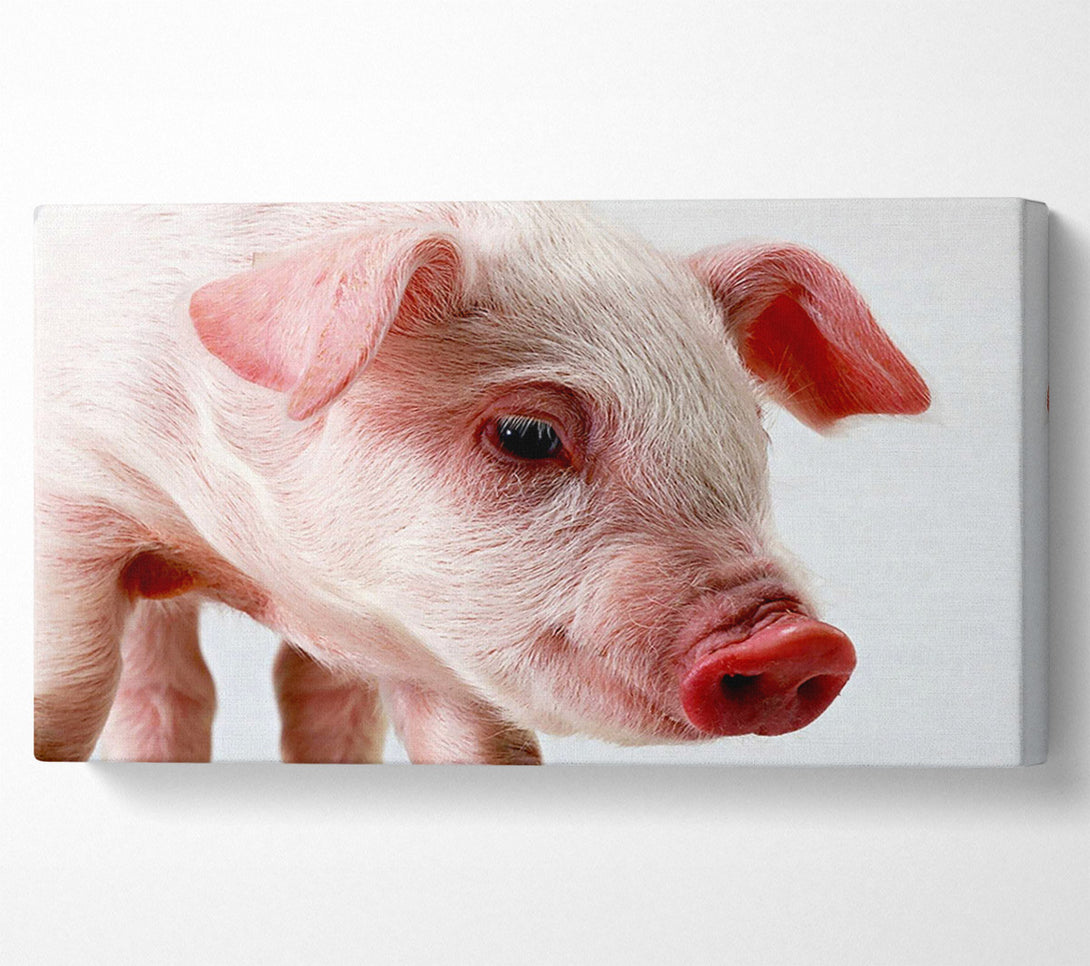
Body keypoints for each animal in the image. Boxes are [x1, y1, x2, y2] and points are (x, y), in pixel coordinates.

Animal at [34, 203, 930, 763]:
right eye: (526, 434)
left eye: (755, 426)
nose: (795, 641)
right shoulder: (68, 501)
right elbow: (65, 692)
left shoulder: (436, 640)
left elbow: (483, 746)